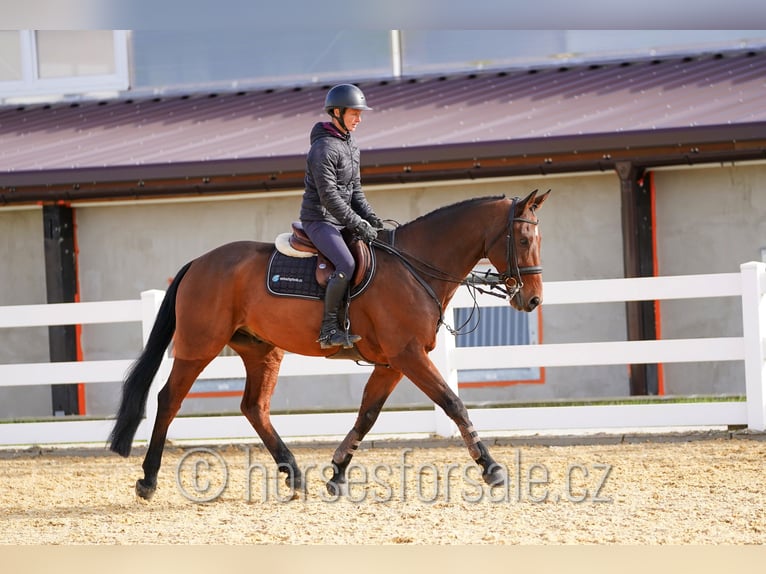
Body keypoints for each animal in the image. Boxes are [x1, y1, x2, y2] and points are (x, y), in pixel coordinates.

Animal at [109, 189, 550, 500]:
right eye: (523, 238)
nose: (531, 300)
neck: (414, 267)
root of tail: (199, 262)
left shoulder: (392, 363)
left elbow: (366, 416)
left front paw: (336, 474)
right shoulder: (408, 355)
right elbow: (453, 403)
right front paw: (491, 468)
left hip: (262, 351)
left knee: (254, 407)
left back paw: (293, 474)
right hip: (200, 347)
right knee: (169, 399)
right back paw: (148, 480)